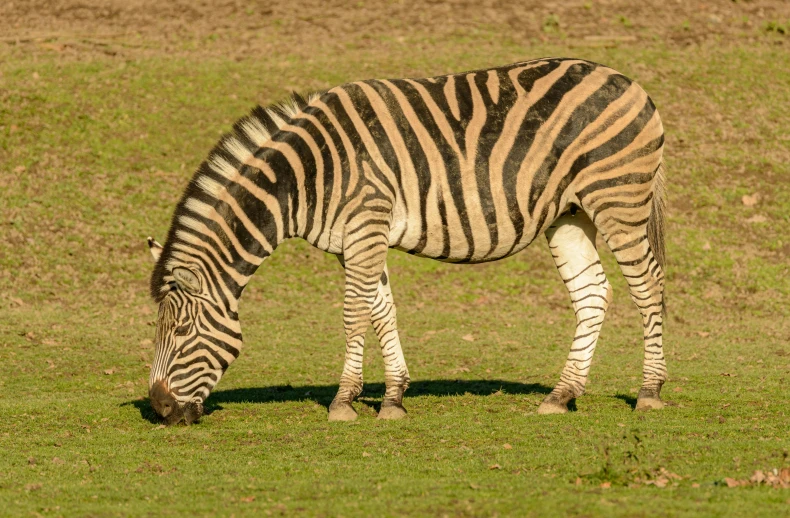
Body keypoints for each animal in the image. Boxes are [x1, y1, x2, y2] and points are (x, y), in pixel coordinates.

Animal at [147, 59, 668, 426]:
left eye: (182, 332)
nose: (158, 409)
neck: (306, 176)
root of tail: (629, 82)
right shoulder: (354, 240)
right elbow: (382, 310)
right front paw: (394, 398)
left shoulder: (365, 224)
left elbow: (354, 312)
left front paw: (343, 401)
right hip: (569, 213)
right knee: (593, 293)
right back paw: (562, 395)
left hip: (617, 199)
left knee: (647, 288)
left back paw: (650, 392)